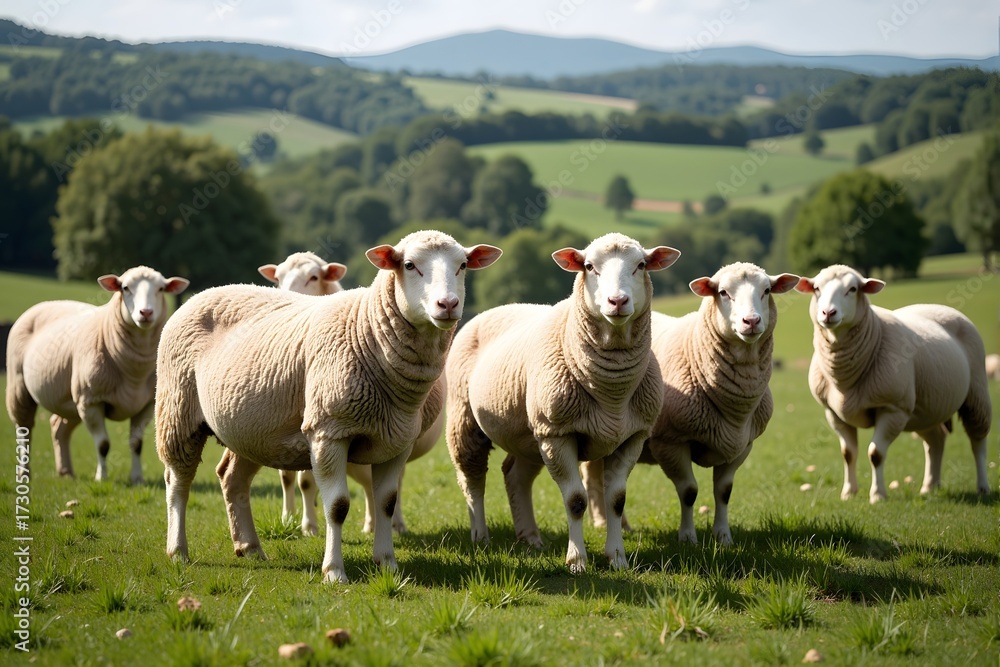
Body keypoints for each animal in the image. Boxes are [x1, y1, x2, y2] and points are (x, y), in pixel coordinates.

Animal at [6, 266, 189, 483]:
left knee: (58, 428)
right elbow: (103, 444)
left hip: (70, 401)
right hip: (20, 387)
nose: (146, 312)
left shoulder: (145, 405)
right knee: (24, 430)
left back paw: (66, 472)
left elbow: (136, 444)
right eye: (125, 288)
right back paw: (24, 473)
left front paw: (137, 479)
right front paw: (102, 477)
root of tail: (45, 304)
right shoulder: (91, 402)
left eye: (161, 289)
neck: (134, 373)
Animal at [219, 251, 445, 536]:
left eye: (314, 277)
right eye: (278, 278)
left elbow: (309, 482)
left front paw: (310, 526)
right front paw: (290, 518)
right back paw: (370, 524)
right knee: (368, 483)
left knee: (392, 482)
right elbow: (289, 477)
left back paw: (395, 524)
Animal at [446, 233, 680, 573]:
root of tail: (500, 307)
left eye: (641, 265)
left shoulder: (631, 437)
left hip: (531, 435)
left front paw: (617, 558)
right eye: (589, 266)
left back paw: (530, 537)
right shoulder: (558, 434)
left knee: (515, 475)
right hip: (467, 419)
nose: (617, 301)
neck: (611, 394)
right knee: (472, 477)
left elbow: (616, 500)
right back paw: (480, 536)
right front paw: (577, 560)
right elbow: (576, 501)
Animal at [583, 263, 799, 545]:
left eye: (766, 290)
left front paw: (723, 536)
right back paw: (602, 522)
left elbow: (724, 491)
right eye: (723, 292)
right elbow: (688, 491)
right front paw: (687, 537)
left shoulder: (742, 446)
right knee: (593, 476)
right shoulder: (671, 442)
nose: (751, 321)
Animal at [795, 264, 992, 502]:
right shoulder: (834, 414)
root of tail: (940, 307)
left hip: (976, 393)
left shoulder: (892, 409)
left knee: (978, 441)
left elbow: (875, 454)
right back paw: (929, 486)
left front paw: (878, 495)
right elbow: (848, 454)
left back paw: (983, 487)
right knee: (936, 440)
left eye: (852, 289)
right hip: (925, 408)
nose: (828, 313)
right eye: (816, 288)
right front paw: (849, 492)